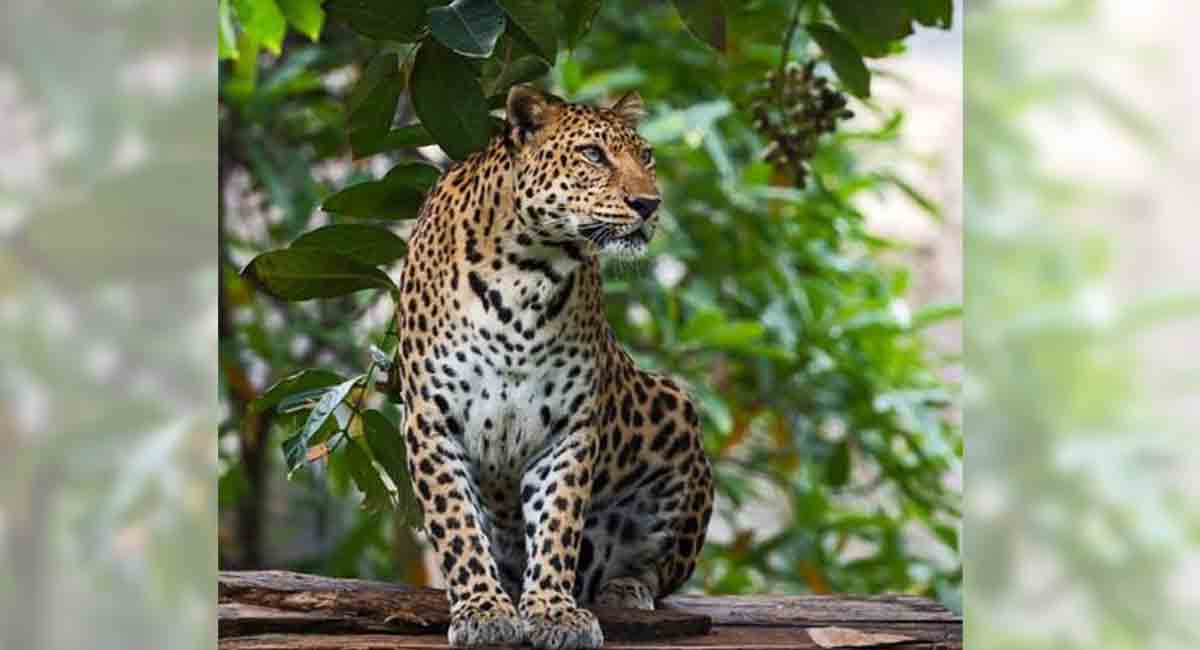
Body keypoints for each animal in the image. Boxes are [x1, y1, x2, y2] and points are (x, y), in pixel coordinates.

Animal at [391, 85, 714, 650]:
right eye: (592, 155)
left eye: (646, 156)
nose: (648, 204)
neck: (526, 271)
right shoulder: (432, 421)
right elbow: (457, 524)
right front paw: (483, 609)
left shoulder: (567, 430)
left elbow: (558, 522)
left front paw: (553, 612)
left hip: (676, 413)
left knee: (656, 571)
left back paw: (624, 589)